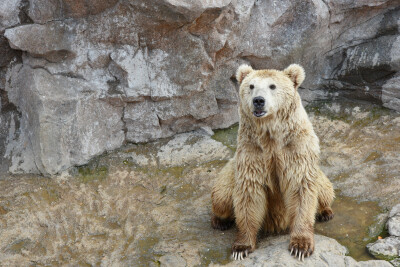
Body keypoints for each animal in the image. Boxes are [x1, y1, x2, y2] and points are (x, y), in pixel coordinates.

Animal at [211, 63, 336, 262]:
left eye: (272, 86)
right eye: (251, 86)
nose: (258, 101)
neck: (271, 135)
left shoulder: (296, 149)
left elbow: (301, 189)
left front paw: (300, 246)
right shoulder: (252, 152)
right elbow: (249, 194)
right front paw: (241, 247)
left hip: (320, 176)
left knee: (325, 191)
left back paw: (325, 212)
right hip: (229, 175)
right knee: (221, 197)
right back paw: (219, 221)